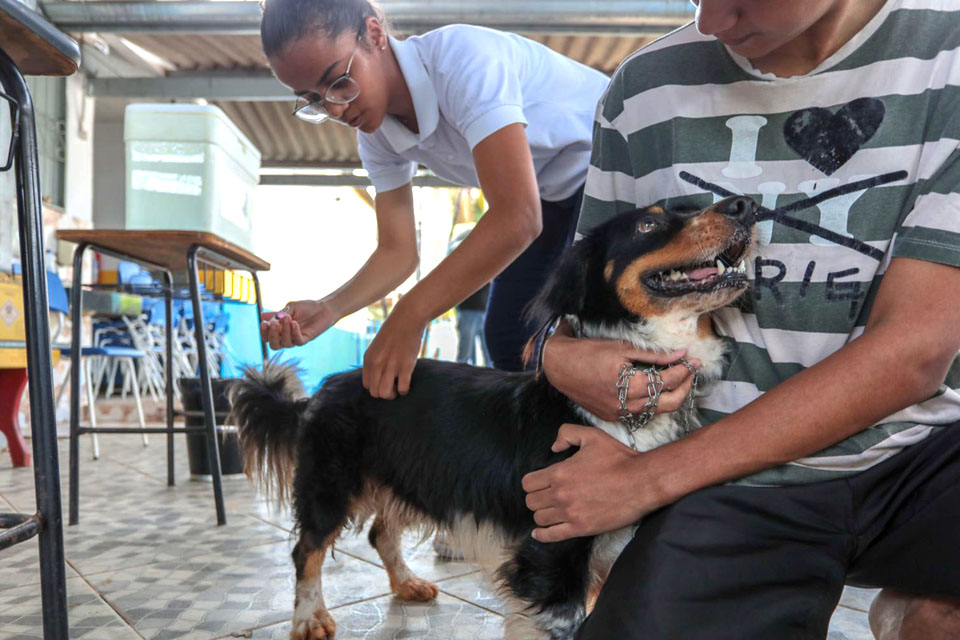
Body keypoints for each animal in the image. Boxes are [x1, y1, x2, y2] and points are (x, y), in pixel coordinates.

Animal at [231, 195, 756, 640]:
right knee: (307, 549)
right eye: (648, 224)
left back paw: (406, 584)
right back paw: (309, 618)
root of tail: (328, 386)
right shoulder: (552, 550)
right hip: (331, 484)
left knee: (381, 532)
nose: (744, 206)